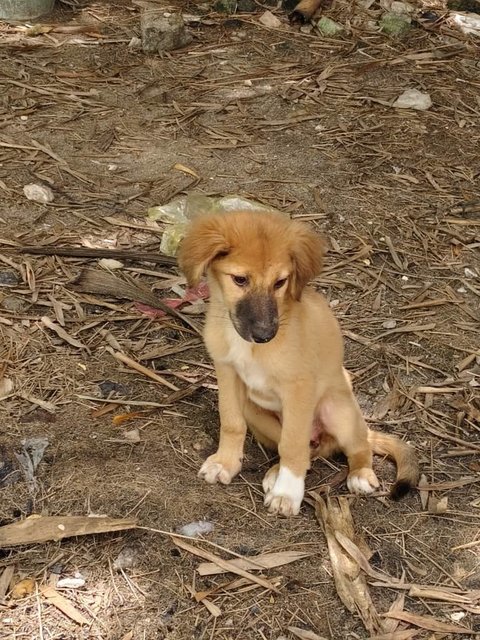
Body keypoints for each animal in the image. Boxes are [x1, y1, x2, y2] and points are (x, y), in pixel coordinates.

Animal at [178, 212, 418, 516]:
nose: (265, 335)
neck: (250, 348)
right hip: (256, 413)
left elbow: (292, 444)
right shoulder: (227, 372)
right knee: (307, 451)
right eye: (240, 279)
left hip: (339, 411)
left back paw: (360, 474)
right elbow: (232, 423)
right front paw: (225, 463)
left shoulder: (299, 387)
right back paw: (275, 472)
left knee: (355, 446)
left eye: (280, 282)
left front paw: (287, 493)